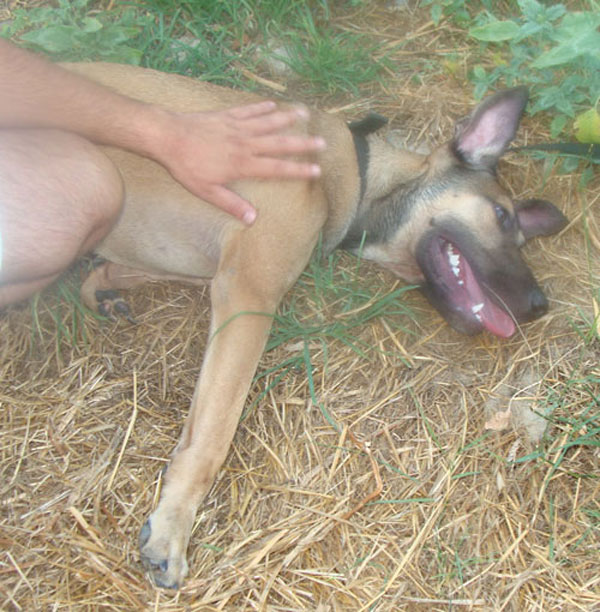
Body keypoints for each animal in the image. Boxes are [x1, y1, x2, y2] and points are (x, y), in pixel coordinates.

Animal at [65, 62, 568, 588]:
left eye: (522, 237)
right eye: (501, 217)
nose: (539, 305)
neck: (348, 173)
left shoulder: (217, 274)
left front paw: (102, 283)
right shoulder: (248, 294)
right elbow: (212, 434)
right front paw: (173, 524)